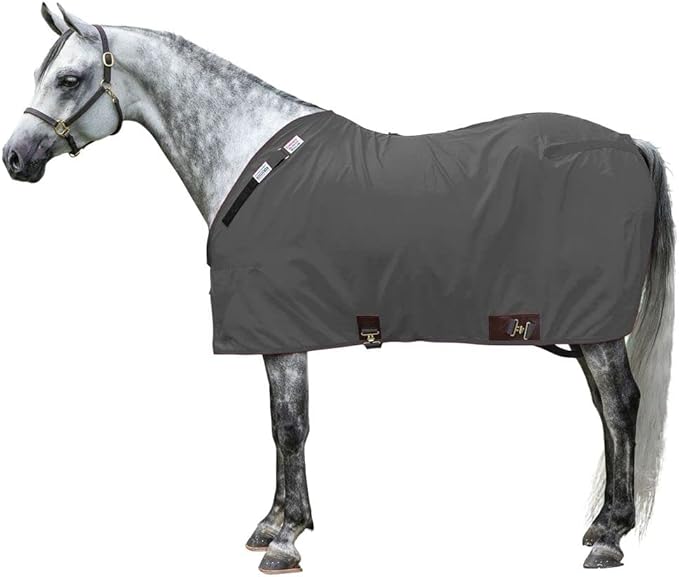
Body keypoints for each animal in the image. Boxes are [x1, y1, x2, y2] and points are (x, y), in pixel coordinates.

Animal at [3, 4, 673, 573]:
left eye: (68, 79)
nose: (15, 157)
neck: (252, 164)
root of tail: (628, 143)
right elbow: (279, 426)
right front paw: (273, 522)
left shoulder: (283, 330)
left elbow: (289, 426)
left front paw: (286, 537)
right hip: (582, 328)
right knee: (606, 410)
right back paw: (602, 525)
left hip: (594, 327)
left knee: (621, 405)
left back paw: (610, 536)